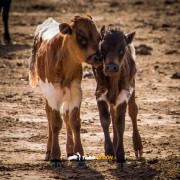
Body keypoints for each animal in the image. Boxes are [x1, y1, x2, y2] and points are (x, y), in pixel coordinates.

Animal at [28, 15, 101, 167]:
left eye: (99, 37)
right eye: (81, 37)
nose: (99, 57)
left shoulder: (76, 93)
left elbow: (74, 122)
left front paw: (79, 154)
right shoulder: (53, 94)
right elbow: (56, 123)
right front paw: (55, 156)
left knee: (66, 117)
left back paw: (70, 151)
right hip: (47, 94)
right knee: (49, 116)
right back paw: (48, 152)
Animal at [93, 26, 143, 166]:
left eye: (122, 49)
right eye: (103, 49)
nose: (111, 67)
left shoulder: (124, 96)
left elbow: (121, 123)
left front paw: (121, 156)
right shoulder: (100, 94)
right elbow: (105, 120)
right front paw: (110, 151)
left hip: (132, 85)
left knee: (133, 111)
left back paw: (138, 147)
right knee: (113, 114)